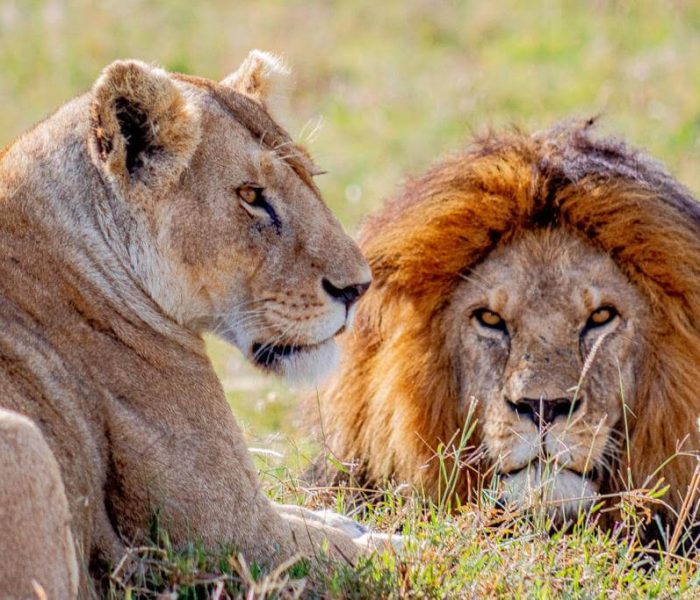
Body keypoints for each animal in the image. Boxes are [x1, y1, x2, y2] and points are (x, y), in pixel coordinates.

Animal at [0, 51, 394, 598]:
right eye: (251, 195)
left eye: (311, 177)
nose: (359, 288)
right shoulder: (231, 537)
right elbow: (376, 555)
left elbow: (316, 518)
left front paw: (346, 520)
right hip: (23, 439)